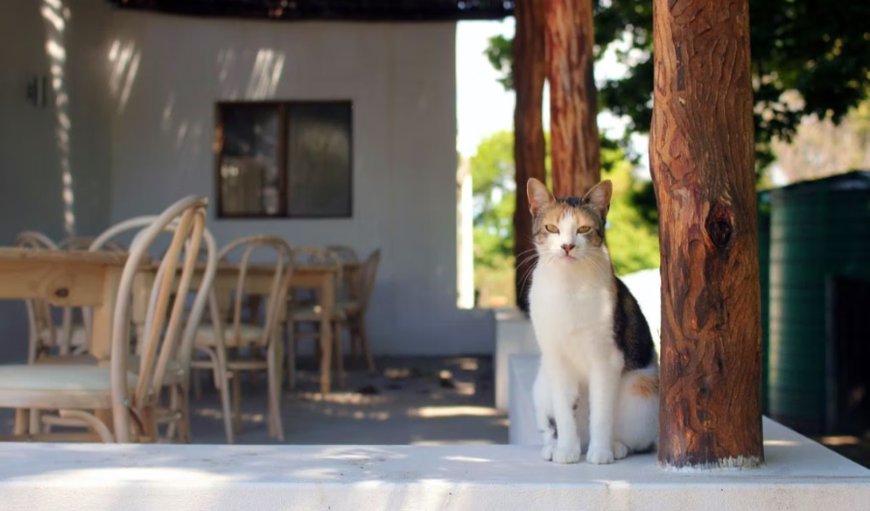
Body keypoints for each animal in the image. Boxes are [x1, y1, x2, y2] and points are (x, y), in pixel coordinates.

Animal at [524, 178, 660, 466]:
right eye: (552, 228)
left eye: (584, 228)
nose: (567, 246)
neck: (568, 285)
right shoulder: (557, 359)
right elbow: (564, 413)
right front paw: (565, 450)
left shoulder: (606, 359)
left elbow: (601, 413)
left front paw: (600, 453)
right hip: (542, 385)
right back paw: (555, 446)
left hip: (642, 390)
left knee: (636, 440)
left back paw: (615, 446)